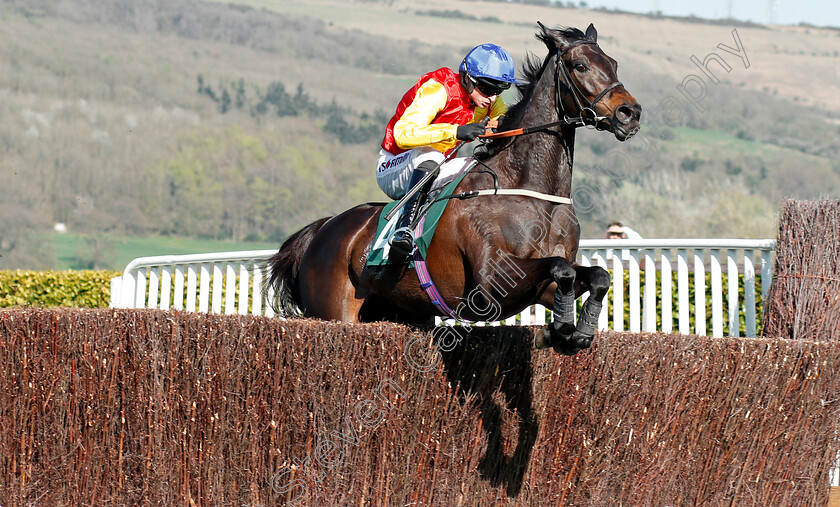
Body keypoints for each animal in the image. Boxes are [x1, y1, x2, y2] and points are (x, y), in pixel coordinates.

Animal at [270, 23, 644, 356]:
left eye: (613, 64)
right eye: (580, 65)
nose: (630, 113)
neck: (530, 191)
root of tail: (323, 229)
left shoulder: (542, 287)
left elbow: (596, 275)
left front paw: (575, 331)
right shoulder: (492, 283)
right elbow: (560, 268)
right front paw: (561, 329)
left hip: (398, 309)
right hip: (334, 310)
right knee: (426, 161)